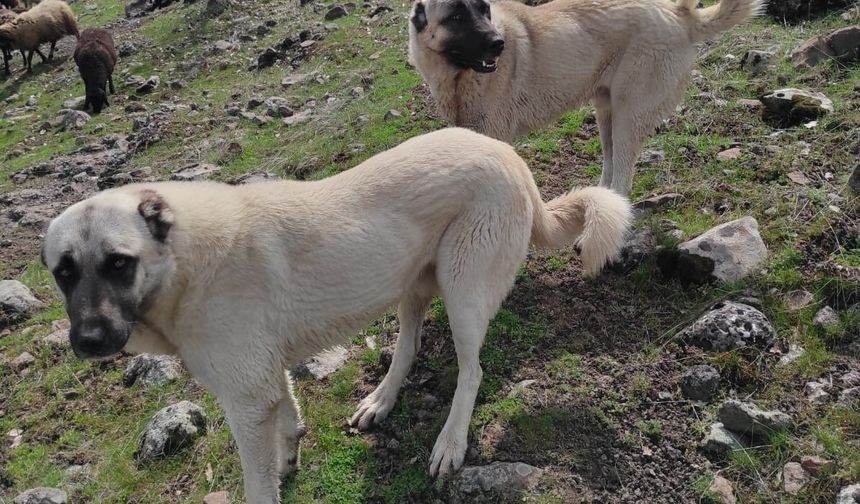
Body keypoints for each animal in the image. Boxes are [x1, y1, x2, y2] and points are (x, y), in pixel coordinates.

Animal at [42, 128, 632, 502]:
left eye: (119, 263)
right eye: (63, 272)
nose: (88, 341)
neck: (182, 261)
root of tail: (509, 154)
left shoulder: (245, 401)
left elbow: (258, 482)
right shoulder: (264, 379)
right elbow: (288, 414)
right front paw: (290, 456)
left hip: (462, 291)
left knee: (472, 371)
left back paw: (450, 443)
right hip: (410, 284)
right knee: (410, 347)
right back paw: (380, 401)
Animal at [412, 0, 764, 196]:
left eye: (484, 9)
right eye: (456, 17)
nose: (499, 43)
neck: (458, 75)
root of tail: (678, 14)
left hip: (628, 115)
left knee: (623, 175)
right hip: (606, 113)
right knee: (610, 163)